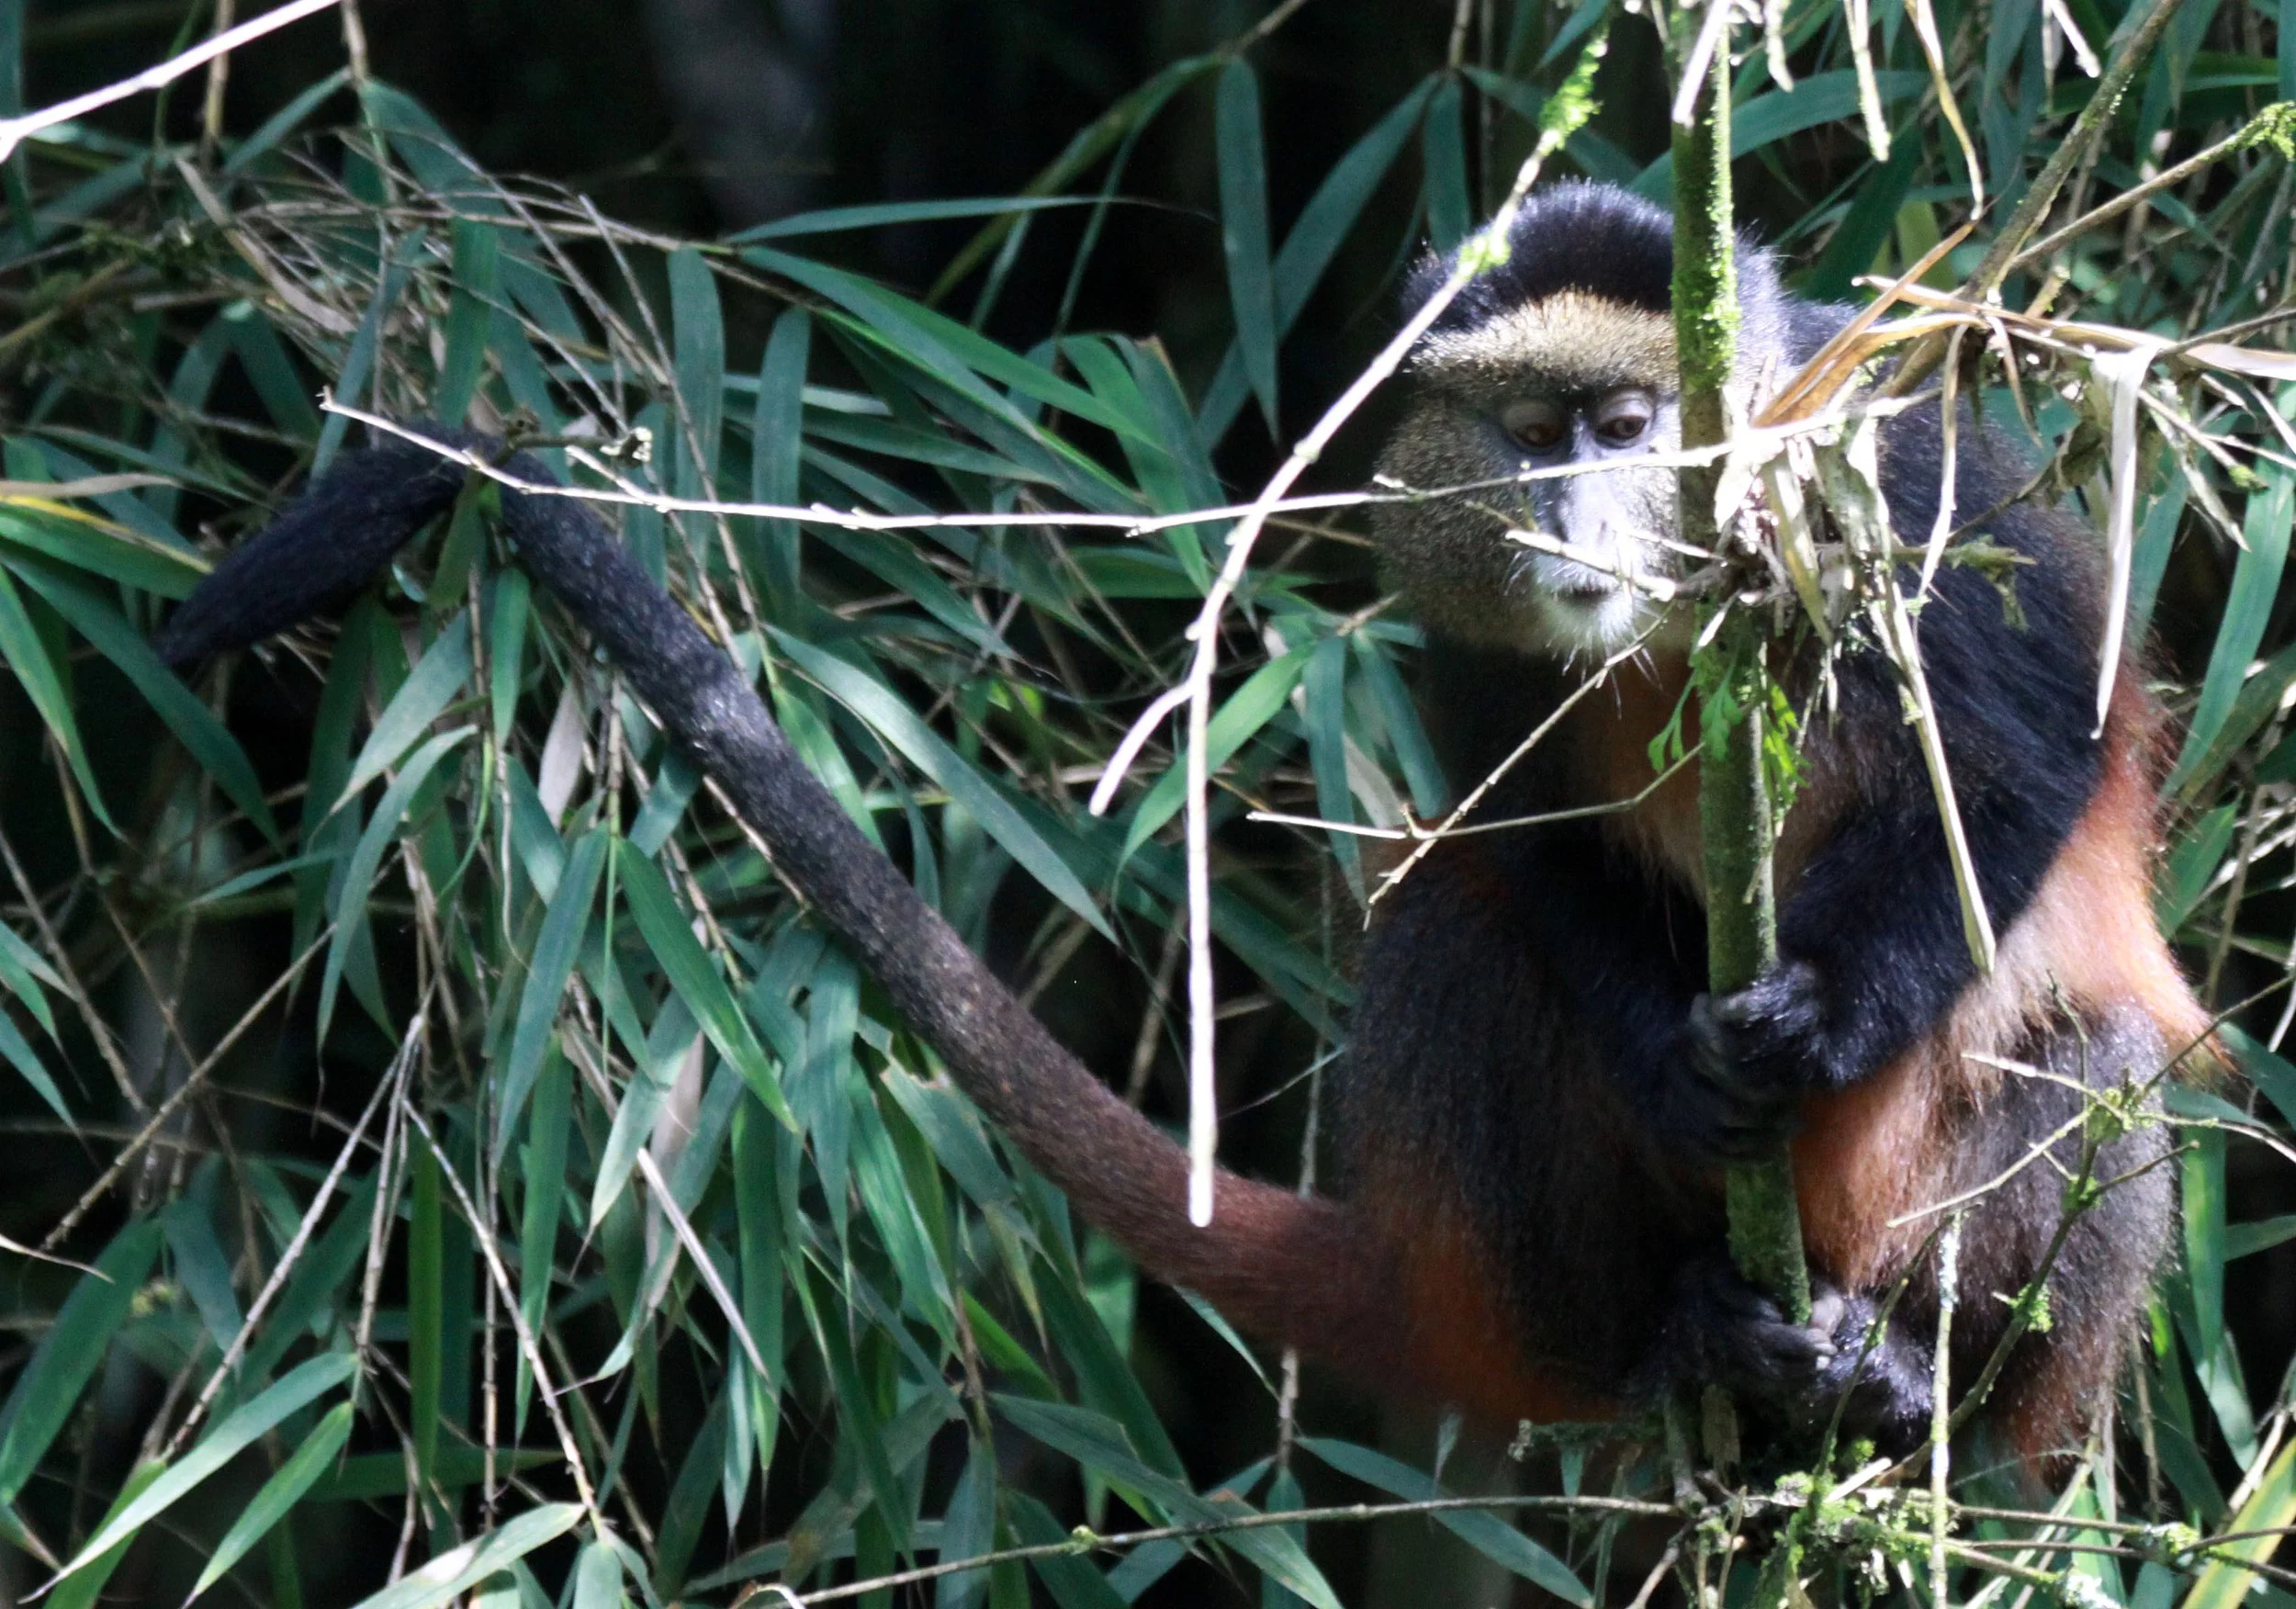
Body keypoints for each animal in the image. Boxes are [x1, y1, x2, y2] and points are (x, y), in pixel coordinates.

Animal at [154, 179, 2206, 1475]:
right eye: (1523, 436)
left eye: (1627, 424)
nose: (1566, 517)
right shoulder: (1449, 614)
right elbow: (1525, 843)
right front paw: (1688, 1056)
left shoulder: (1900, 482)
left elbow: (2022, 748)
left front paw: (1820, 1021)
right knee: (1458, 943)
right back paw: (1688, 1332)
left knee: (2093, 1062)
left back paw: (1910, 1390)